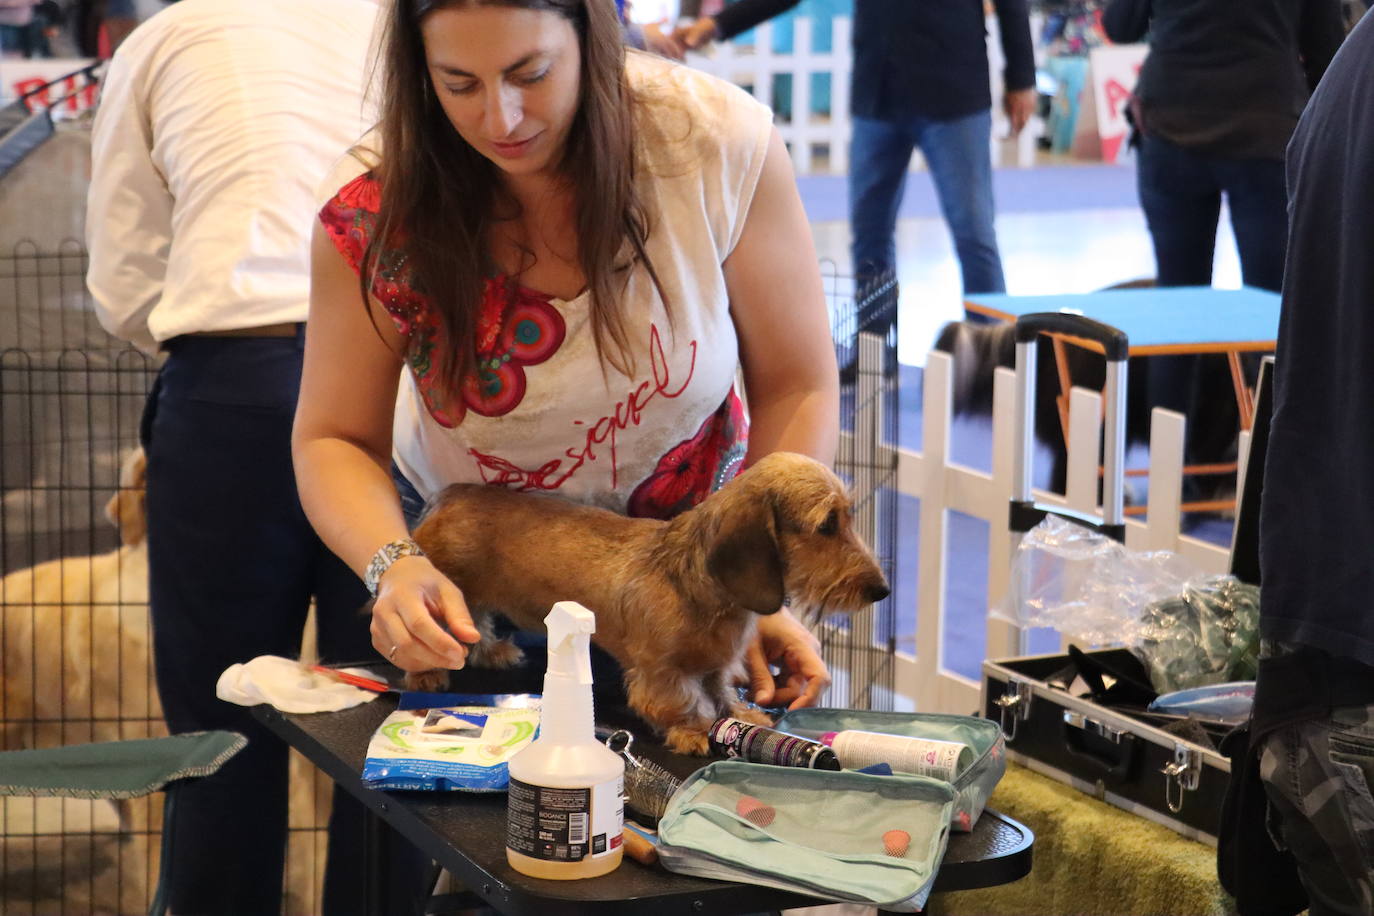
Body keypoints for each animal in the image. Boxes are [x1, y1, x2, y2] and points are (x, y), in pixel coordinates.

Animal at [406, 450, 890, 752]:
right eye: (826, 525)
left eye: (848, 516)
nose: (882, 591)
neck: (701, 587)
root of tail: (450, 496)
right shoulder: (661, 671)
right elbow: (681, 701)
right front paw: (694, 731)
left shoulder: (717, 664)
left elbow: (719, 690)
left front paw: (741, 716)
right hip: (445, 596)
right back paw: (427, 672)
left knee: (479, 625)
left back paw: (493, 652)